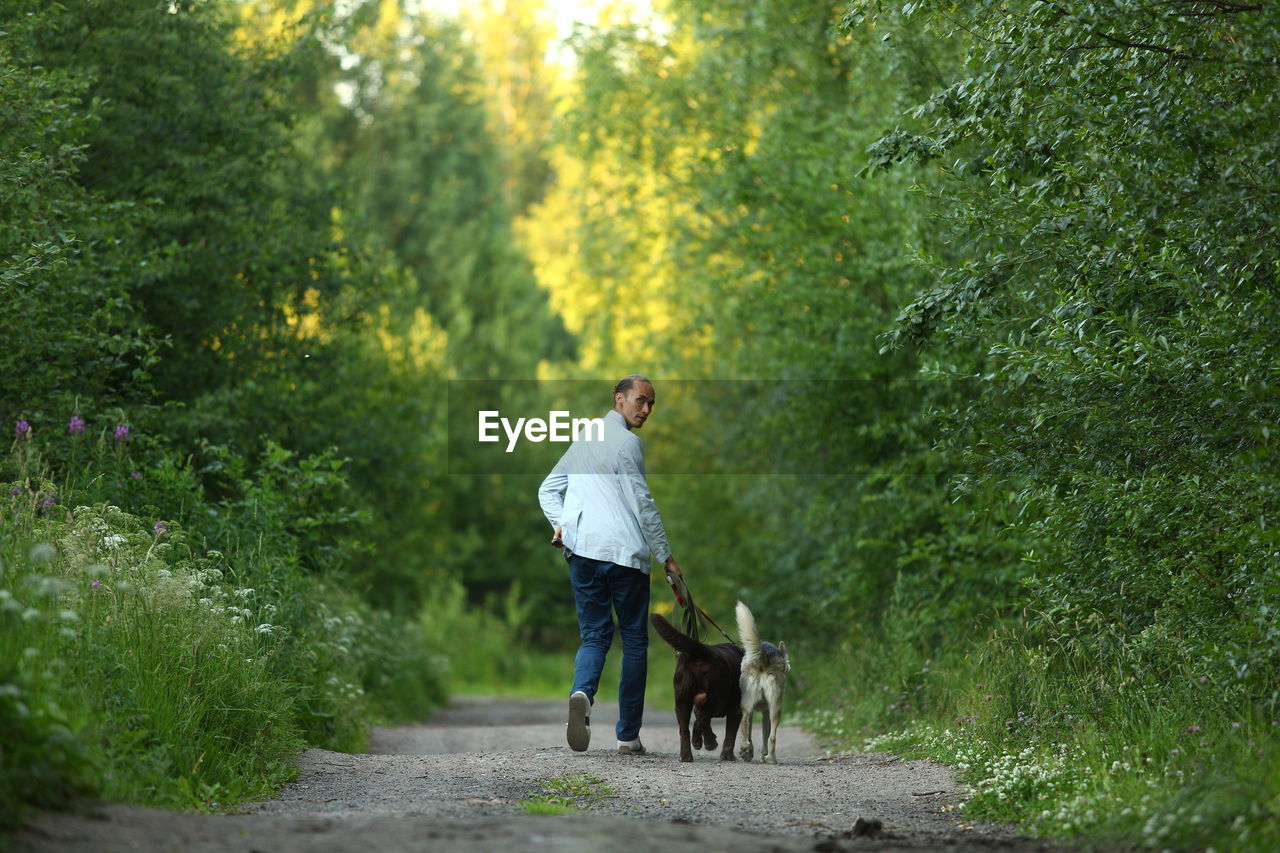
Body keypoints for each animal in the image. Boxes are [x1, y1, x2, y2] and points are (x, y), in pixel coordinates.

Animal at [650, 612, 742, 758]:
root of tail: (703, 652)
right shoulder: (736, 710)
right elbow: (730, 734)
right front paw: (727, 755)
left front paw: (710, 742)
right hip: (715, 698)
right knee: (700, 720)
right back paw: (698, 742)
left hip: (682, 700)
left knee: (685, 729)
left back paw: (686, 755)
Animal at [737, 596, 783, 763]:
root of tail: (763, 657)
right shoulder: (765, 712)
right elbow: (764, 735)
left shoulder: (763, 712)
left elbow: (754, 733)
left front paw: (751, 751)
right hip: (774, 708)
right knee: (772, 736)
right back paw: (771, 759)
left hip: (754, 706)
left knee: (745, 723)